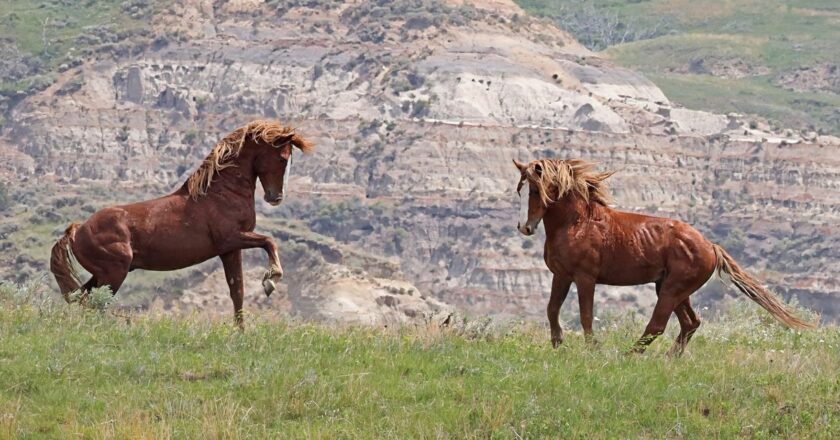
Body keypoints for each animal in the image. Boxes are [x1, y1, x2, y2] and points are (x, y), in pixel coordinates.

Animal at [52, 120, 316, 326]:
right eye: (282, 158)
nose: (275, 197)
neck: (220, 193)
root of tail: (77, 230)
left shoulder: (230, 250)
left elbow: (237, 291)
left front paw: (240, 332)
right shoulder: (232, 238)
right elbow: (269, 242)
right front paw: (271, 279)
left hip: (103, 275)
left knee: (82, 299)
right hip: (113, 273)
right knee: (95, 302)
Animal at [512, 158, 812, 354]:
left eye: (537, 190)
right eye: (521, 189)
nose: (525, 227)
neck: (577, 223)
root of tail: (710, 245)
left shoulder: (585, 278)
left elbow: (586, 316)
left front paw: (592, 350)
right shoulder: (561, 275)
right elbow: (552, 309)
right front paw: (557, 345)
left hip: (671, 289)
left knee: (658, 325)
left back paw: (629, 356)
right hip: (670, 288)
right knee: (690, 323)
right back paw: (671, 358)